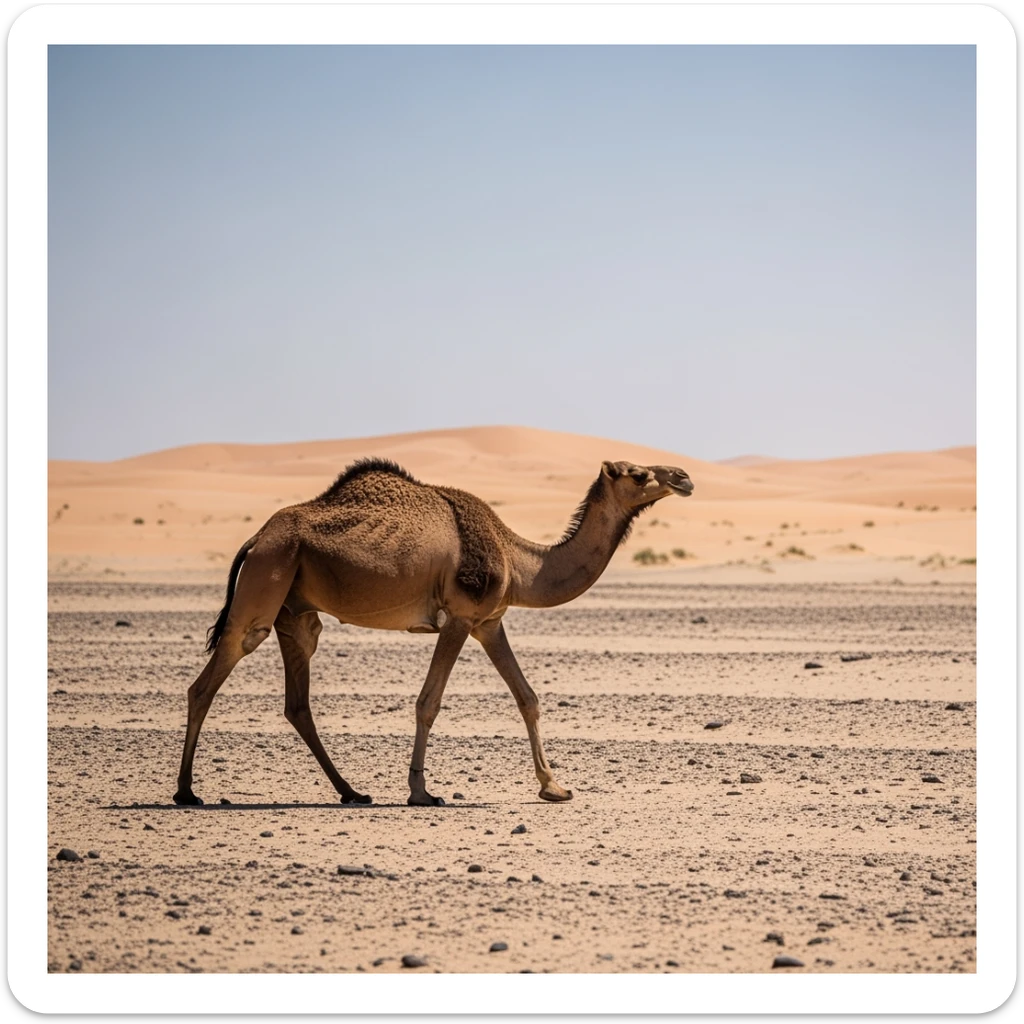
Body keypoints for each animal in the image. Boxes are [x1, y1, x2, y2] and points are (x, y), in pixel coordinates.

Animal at [173, 457, 693, 807]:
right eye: (638, 473)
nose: (683, 476)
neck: (518, 559)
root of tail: (256, 537)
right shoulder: (460, 617)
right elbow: (429, 702)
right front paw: (421, 790)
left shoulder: (489, 622)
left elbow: (527, 697)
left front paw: (554, 786)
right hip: (265, 584)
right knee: (207, 681)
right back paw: (185, 792)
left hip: (295, 612)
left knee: (297, 702)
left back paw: (351, 791)